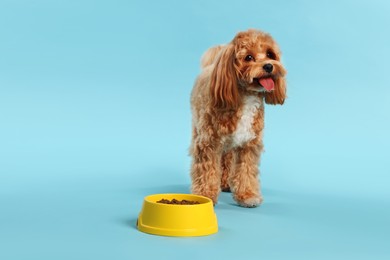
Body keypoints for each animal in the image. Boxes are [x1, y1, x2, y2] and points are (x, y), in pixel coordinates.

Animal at [190, 29, 286, 207]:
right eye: (248, 57)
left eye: (270, 54)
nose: (269, 66)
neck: (245, 95)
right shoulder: (208, 142)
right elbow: (207, 170)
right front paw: (206, 195)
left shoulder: (249, 144)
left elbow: (246, 171)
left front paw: (247, 195)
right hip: (197, 127)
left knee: (227, 158)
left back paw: (226, 183)